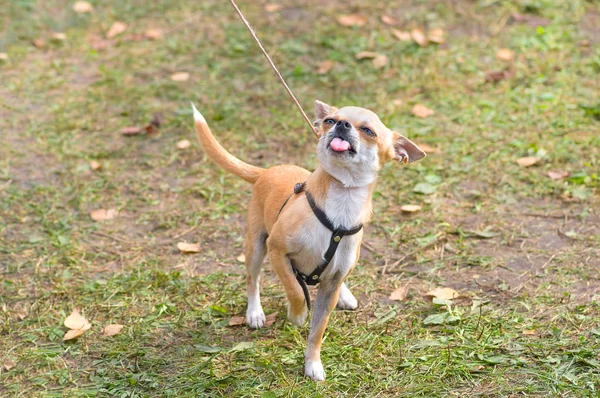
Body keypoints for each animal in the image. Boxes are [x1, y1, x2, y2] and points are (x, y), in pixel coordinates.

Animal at [190, 99, 424, 380]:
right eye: (330, 121)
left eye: (368, 131)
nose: (341, 125)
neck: (342, 202)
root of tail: (267, 171)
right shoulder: (277, 251)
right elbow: (295, 290)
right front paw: (298, 314)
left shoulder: (329, 288)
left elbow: (318, 330)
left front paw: (313, 363)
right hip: (257, 246)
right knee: (252, 279)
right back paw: (255, 312)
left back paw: (345, 294)